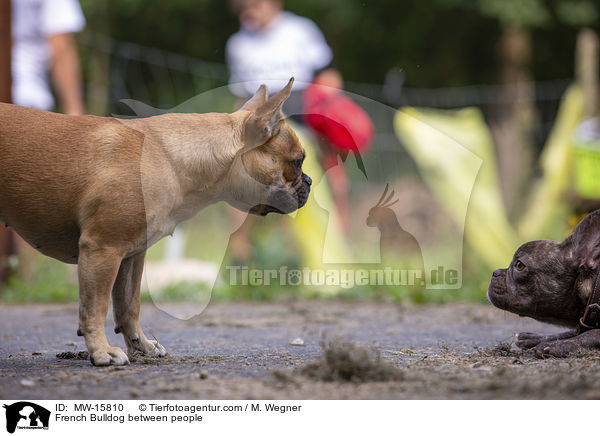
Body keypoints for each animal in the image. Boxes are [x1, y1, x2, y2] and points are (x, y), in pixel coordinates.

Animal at [0, 77, 310, 364]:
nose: (308, 181)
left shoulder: (131, 256)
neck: (170, 158)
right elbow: (95, 307)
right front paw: (101, 351)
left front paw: (142, 346)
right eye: (297, 162)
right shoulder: (102, 248)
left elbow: (129, 306)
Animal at [488, 210, 600, 358]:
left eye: (519, 265)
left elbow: (591, 333)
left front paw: (559, 345)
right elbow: (572, 331)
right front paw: (536, 338)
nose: (495, 272)